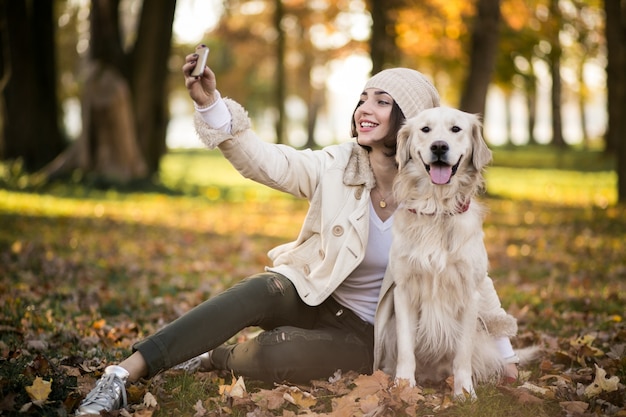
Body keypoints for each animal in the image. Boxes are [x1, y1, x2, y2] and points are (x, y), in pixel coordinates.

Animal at [388, 105, 516, 398]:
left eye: (456, 129)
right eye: (425, 129)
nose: (438, 146)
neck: (438, 208)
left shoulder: (470, 292)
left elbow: (463, 353)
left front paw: (464, 392)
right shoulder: (404, 289)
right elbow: (405, 348)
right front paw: (404, 387)